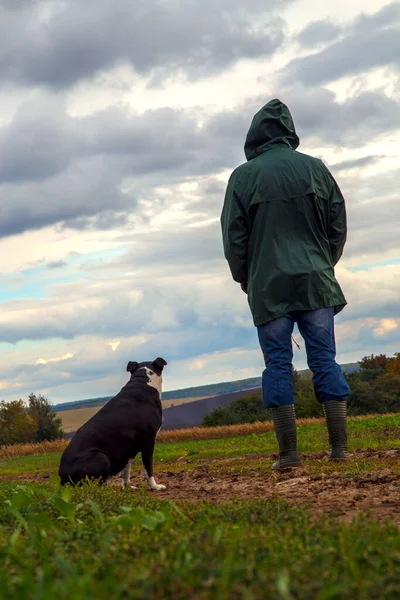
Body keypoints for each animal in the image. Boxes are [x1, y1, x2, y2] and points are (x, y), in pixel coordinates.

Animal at [57, 356, 166, 492]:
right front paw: (155, 486)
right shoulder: (148, 441)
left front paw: (127, 487)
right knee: (91, 486)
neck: (143, 380)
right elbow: (148, 469)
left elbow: (126, 471)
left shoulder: (128, 447)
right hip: (101, 458)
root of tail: (63, 476)